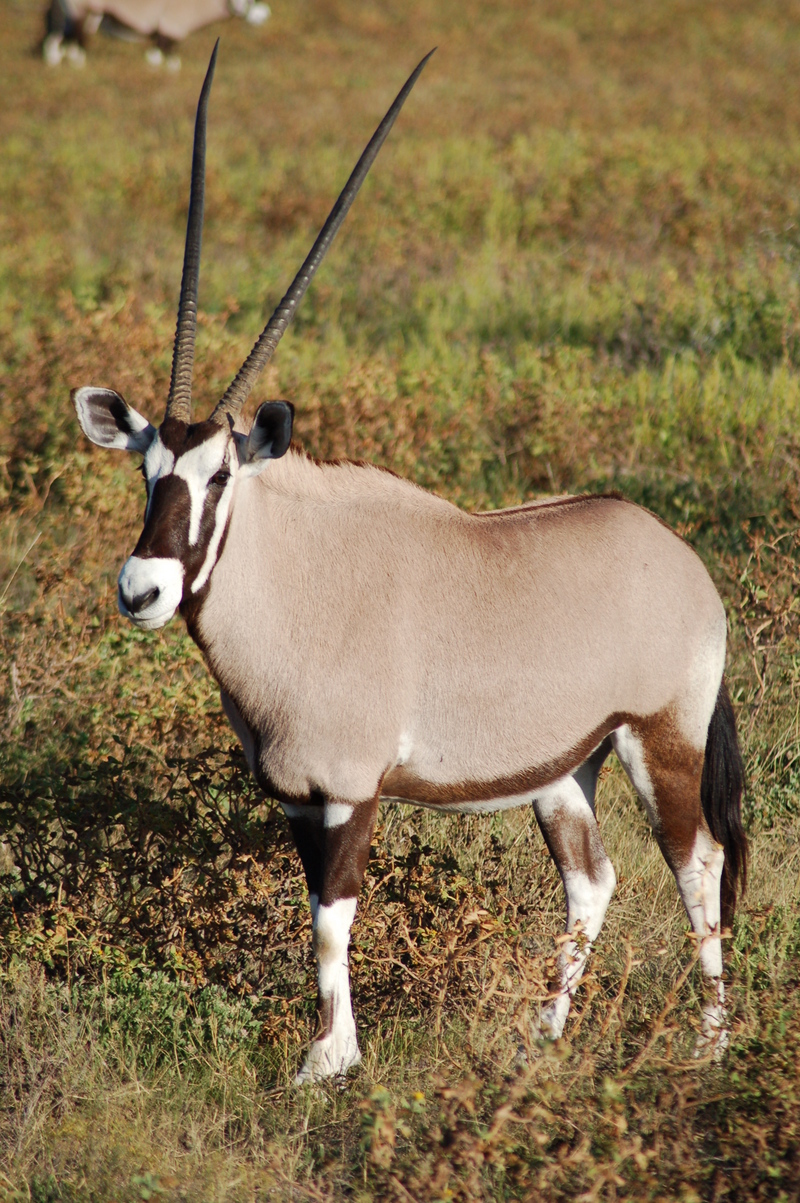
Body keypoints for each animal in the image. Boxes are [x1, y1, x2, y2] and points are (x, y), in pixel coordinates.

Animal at [71, 44, 745, 1082]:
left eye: (219, 474)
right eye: (146, 472)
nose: (142, 590)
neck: (299, 581)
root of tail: (682, 562)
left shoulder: (352, 789)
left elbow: (333, 921)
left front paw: (328, 1063)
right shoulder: (300, 798)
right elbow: (316, 913)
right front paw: (331, 1050)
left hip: (659, 739)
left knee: (697, 863)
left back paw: (711, 1042)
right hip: (569, 766)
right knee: (593, 879)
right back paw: (542, 1035)